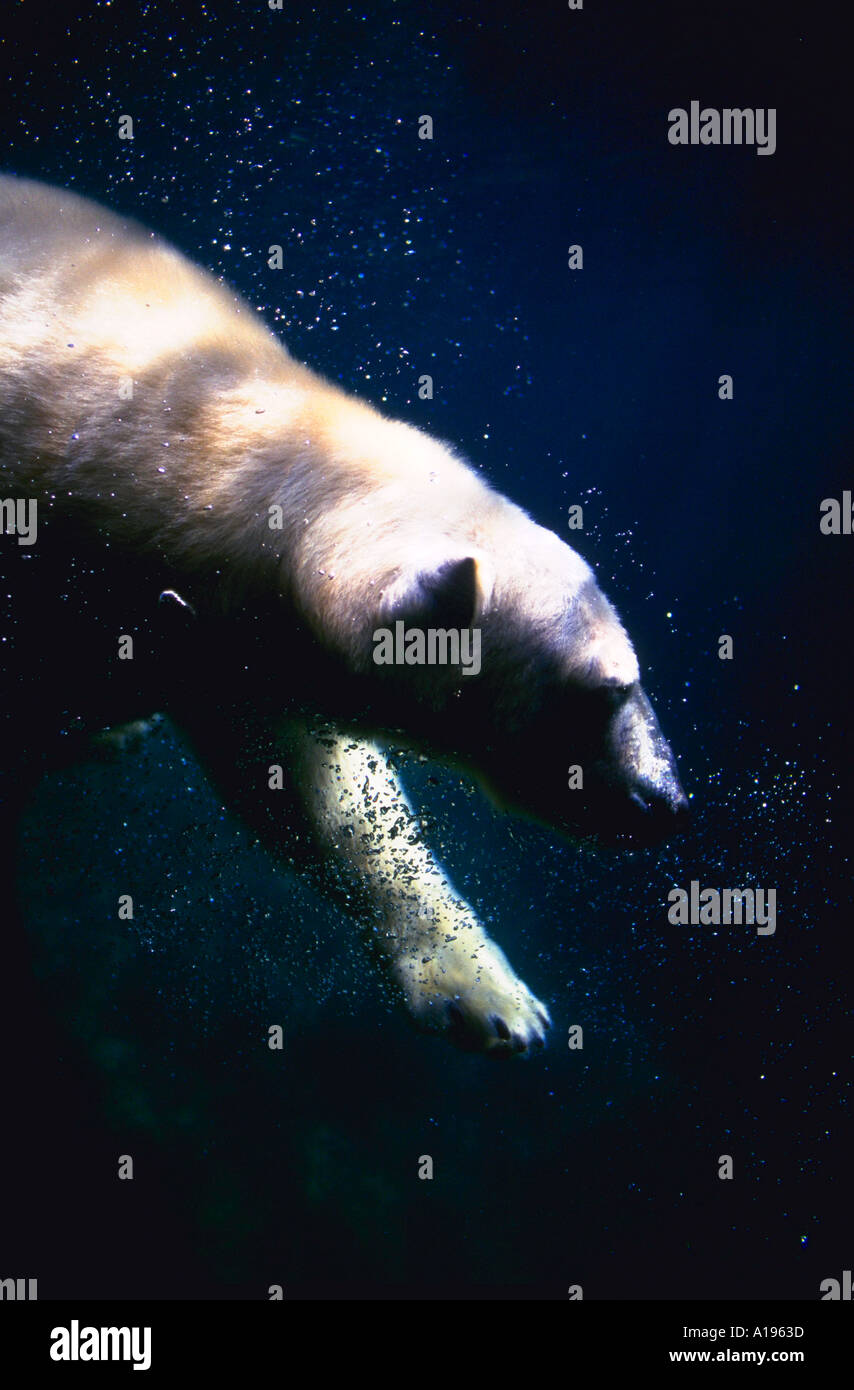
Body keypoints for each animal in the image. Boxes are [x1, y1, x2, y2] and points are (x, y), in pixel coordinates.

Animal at [0, 174, 688, 1056]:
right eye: (603, 689)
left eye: (632, 677)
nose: (664, 801)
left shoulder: (236, 647)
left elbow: (328, 802)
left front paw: (492, 998)